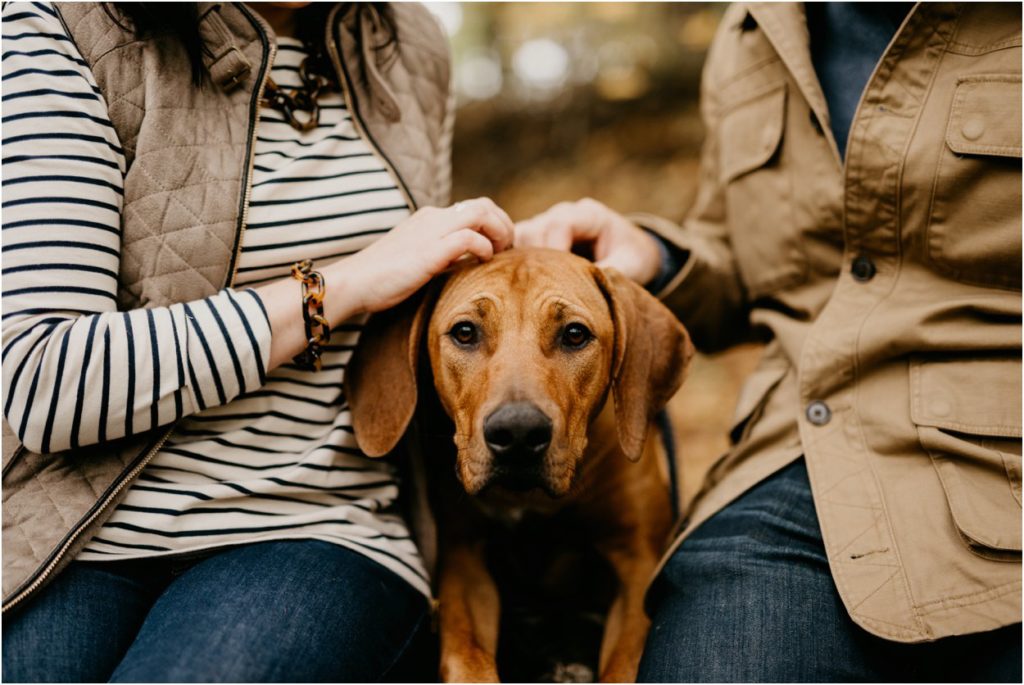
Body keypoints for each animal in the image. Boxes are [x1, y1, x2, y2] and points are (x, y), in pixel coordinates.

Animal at [348, 248, 692, 679]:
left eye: (575, 334)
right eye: (465, 332)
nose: (517, 433)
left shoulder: (638, 563)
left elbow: (626, 663)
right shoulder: (464, 561)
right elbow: (468, 658)